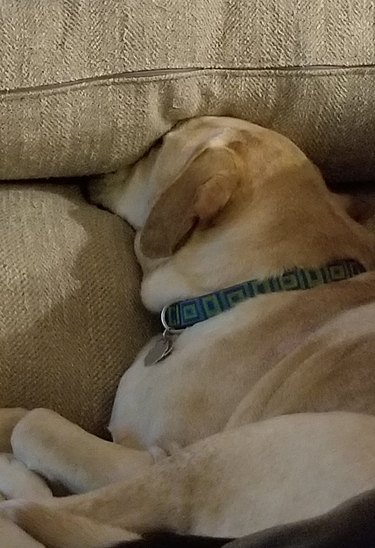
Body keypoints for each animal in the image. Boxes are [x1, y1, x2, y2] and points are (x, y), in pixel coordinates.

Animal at [0, 117, 374, 544]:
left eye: (158, 145)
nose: (95, 172)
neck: (255, 285)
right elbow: (17, 414)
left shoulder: (152, 453)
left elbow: (34, 422)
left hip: (231, 455)